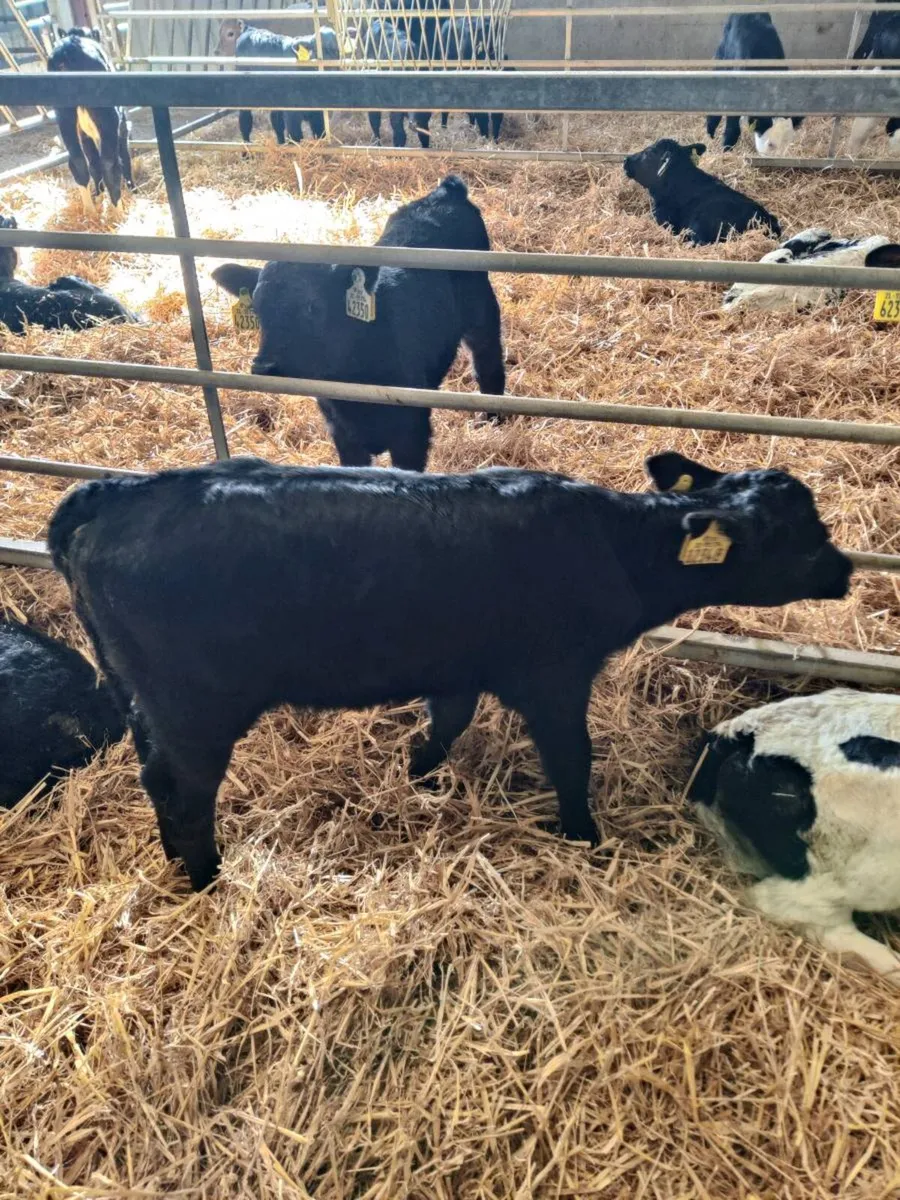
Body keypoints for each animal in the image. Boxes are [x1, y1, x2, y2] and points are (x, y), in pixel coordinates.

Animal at [47, 27, 135, 215]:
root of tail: (69, 47)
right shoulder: (122, 130)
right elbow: (125, 158)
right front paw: (133, 190)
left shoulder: (85, 135)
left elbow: (93, 164)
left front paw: (99, 196)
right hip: (108, 119)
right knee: (110, 165)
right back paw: (118, 214)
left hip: (64, 116)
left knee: (78, 162)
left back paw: (90, 211)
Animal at [48, 450, 852, 891]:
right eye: (799, 534)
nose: (845, 569)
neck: (608, 546)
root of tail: (121, 492)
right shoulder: (554, 675)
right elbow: (571, 758)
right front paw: (583, 835)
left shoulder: (461, 664)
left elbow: (448, 720)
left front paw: (417, 774)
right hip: (195, 707)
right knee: (183, 790)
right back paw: (207, 878)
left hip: (144, 698)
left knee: (152, 774)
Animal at [211, 175, 505, 471]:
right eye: (258, 309)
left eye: (312, 306)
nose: (264, 367)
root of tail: (447, 190)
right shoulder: (343, 435)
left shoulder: (413, 432)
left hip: (482, 312)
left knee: (488, 362)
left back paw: (493, 419)